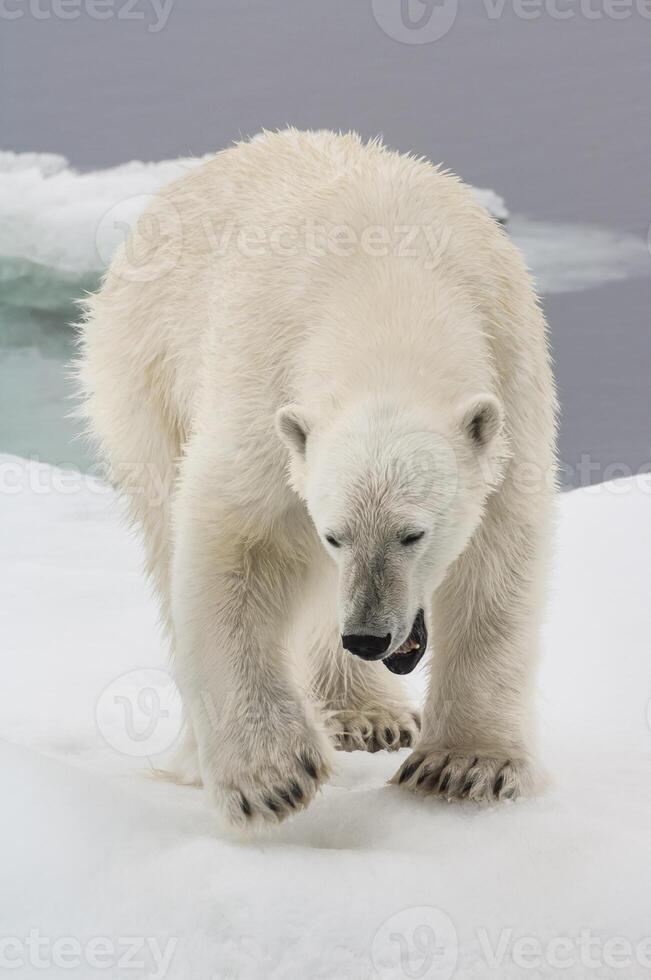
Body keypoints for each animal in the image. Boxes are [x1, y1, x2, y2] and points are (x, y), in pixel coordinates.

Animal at [75, 128, 556, 828]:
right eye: (335, 534)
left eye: (413, 534)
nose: (368, 635)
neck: (386, 290)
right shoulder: (263, 379)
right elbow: (234, 539)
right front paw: (270, 777)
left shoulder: (510, 370)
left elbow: (497, 556)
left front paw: (466, 766)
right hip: (143, 373)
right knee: (167, 538)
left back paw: (368, 714)